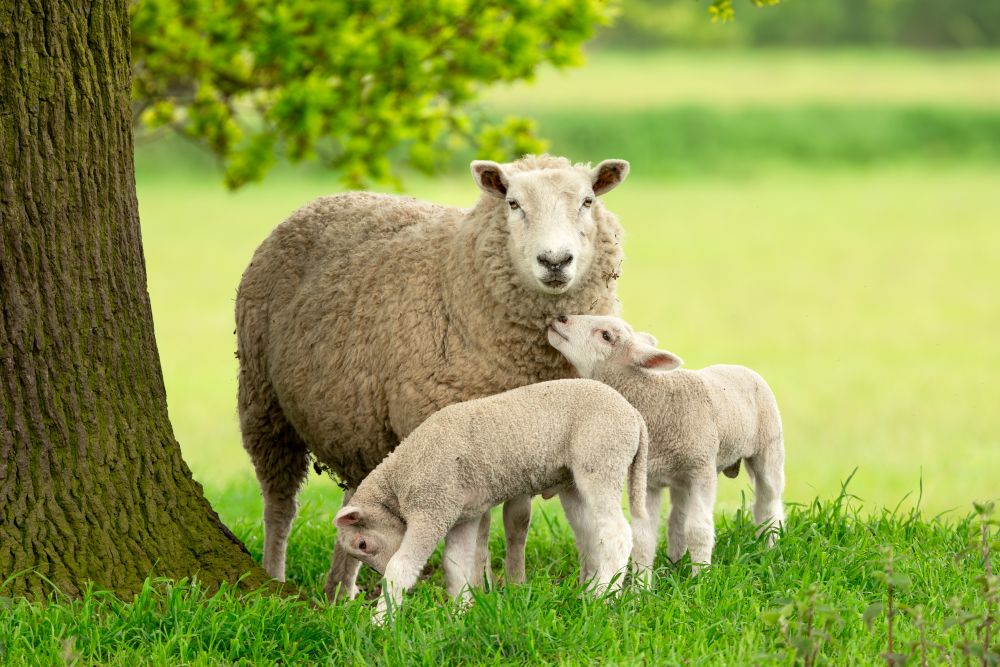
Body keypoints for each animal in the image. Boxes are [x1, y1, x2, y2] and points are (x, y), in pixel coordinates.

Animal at [235, 155, 630, 600]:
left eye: (587, 200)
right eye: (512, 203)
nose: (555, 261)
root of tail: (324, 199)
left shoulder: (525, 438)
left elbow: (518, 519)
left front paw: (513, 584)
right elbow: (480, 527)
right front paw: (480, 587)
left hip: (358, 425)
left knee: (352, 500)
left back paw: (340, 591)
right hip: (262, 403)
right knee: (280, 504)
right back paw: (274, 575)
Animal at [332, 378, 649, 622]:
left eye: (362, 544)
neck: (400, 477)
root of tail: (635, 416)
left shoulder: (431, 509)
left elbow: (401, 567)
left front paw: (380, 621)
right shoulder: (463, 514)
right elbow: (455, 565)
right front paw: (459, 614)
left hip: (601, 460)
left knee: (618, 534)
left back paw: (603, 597)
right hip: (574, 482)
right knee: (594, 537)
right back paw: (591, 591)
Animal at [546, 314, 785, 578]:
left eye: (606, 336)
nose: (561, 317)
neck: (657, 401)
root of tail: (739, 366)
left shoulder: (702, 470)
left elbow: (699, 529)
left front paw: (701, 578)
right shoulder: (649, 480)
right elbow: (644, 538)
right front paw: (641, 584)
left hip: (768, 449)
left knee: (768, 503)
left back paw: (771, 548)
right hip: (680, 478)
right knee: (677, 520)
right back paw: (676, 562)